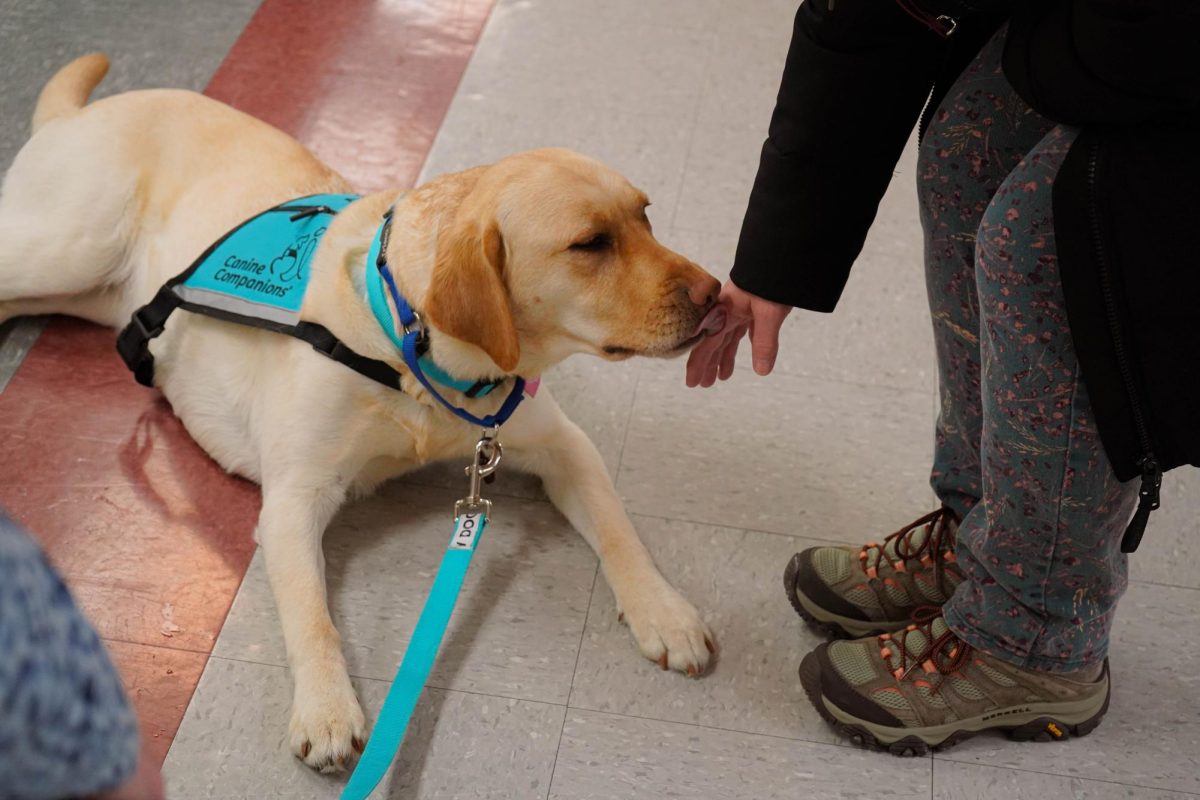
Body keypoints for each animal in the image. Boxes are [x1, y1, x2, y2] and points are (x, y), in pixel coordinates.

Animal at [0, 54, 720, 767]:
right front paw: (325, 708)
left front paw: (665, 611)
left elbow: (617, 526)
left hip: (85, 288)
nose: (715, 293)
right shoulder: (294, 498)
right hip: (69, 246)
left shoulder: (561, 444)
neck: (412, 354)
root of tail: (82, 112)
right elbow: (311, 616)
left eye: (646, 216)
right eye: (591, 243)